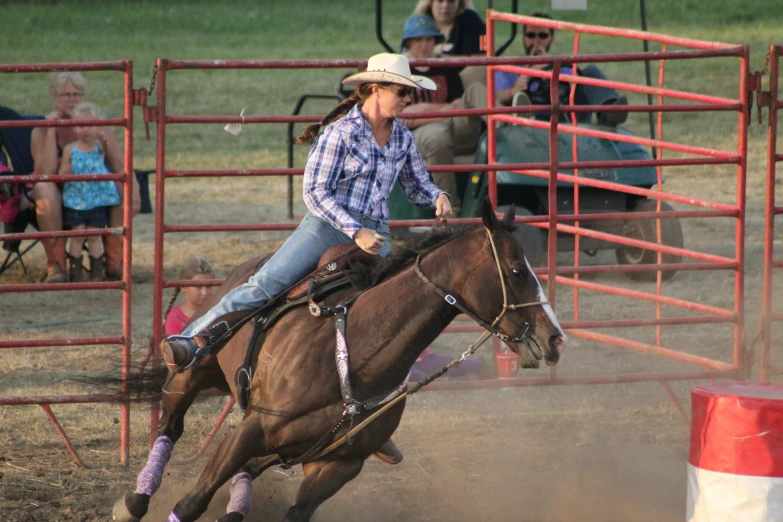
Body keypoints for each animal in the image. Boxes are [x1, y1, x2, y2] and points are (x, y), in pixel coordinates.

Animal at [112, 201, 564, 520]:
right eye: (516, 270)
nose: (555, 337)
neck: (355, 359)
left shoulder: (337, 467)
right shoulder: (252, 431)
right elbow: (191, 503)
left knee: (244, 472)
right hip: (192, 375)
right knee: (170, 426)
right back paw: (133, 502)